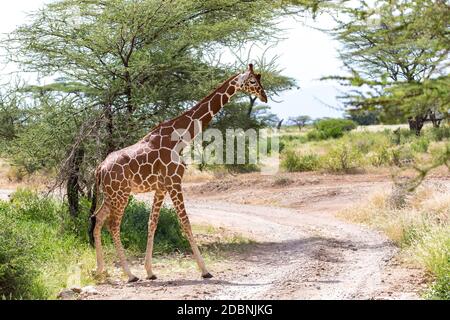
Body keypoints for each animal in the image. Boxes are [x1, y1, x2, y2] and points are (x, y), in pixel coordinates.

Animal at [88, 63, 268, 282]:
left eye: (260, 78)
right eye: (252, 81)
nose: (264, 96)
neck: (181, 138)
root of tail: (99, 169)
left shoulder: (161, 187)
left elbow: (152, 223)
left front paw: (150, 271)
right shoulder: (174, 181)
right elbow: (186, 223)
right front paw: (205, 270)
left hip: (111, 195)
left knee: (97, 219)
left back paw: (100, 270)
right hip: (120, 194)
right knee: (113, 225)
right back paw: (130, 275)